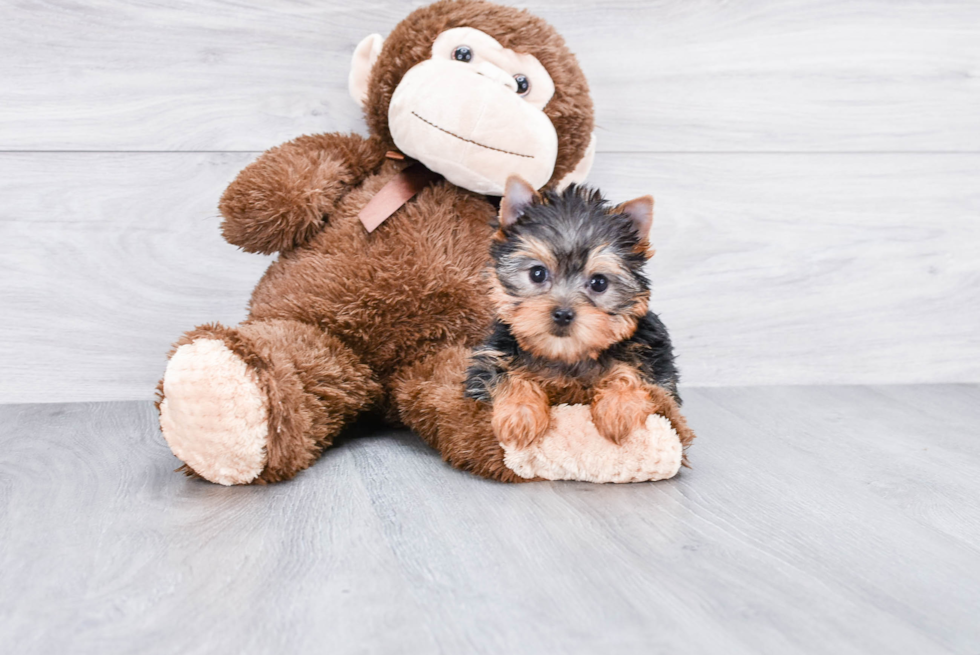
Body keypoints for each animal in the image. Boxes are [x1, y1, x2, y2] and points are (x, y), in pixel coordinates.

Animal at [466, 176, 688, 452]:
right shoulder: (490, 357)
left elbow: (635, 373)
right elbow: (505, 374)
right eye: (537, 273)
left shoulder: (654, 359)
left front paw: (619, 410)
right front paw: (519, 415)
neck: (567, 355)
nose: (563, 314)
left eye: (599, 283)